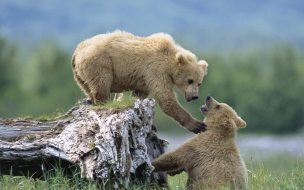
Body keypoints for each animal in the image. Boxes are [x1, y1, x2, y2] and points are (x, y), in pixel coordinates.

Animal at [72, 30, 209, 133]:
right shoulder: (156, 71)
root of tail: (76, 52)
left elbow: (140, 95)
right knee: (101, 83)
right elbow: (166, 99)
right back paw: (104, 102)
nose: (195, 96)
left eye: (199, 83)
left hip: (80, 75)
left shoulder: (145, 78)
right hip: (99, 62)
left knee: (88, 88)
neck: (169, 62)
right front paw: (197, 125)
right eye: (190, 80)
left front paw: (150, 123)